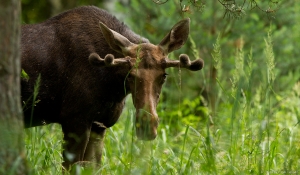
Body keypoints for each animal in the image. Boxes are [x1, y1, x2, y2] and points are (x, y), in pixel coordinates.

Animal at [21, 6, 204, 169]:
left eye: (164, 76)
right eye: (129, 75)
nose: (147, 125)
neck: (113, 90)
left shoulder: (99, 125)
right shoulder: (74, 120)